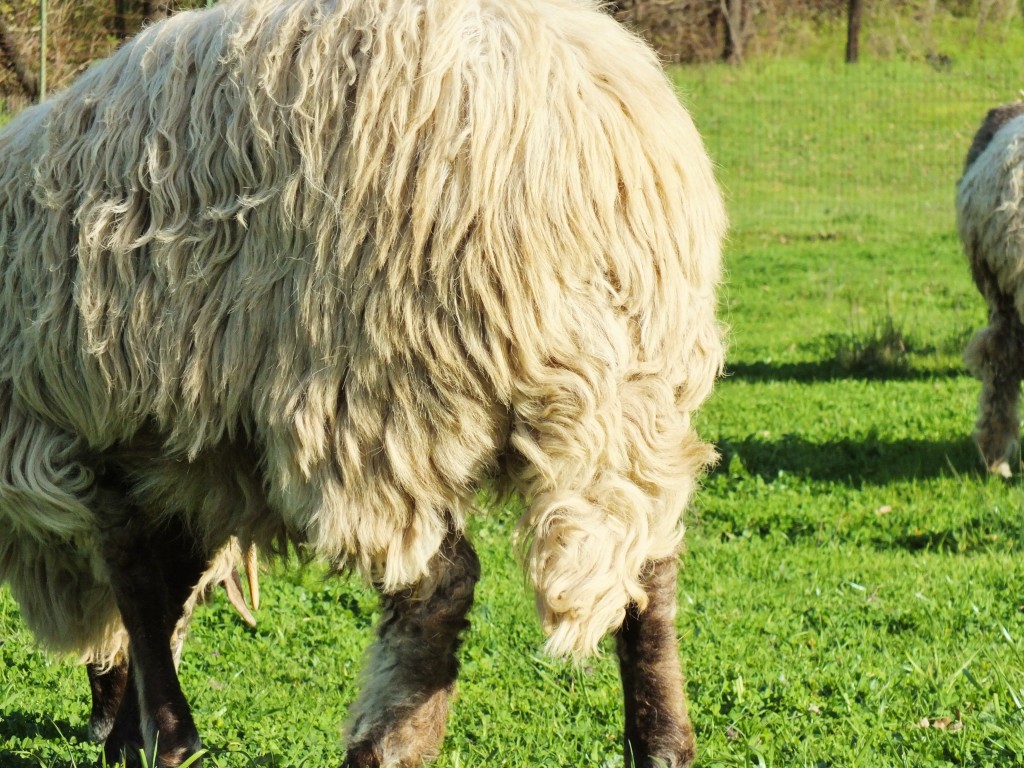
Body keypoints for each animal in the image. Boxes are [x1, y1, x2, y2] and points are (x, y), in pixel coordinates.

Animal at [0, 1, 724, 768]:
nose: (99, 724)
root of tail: (592, 154)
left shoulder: (99, 439)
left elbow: (139, 587)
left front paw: (159, 736)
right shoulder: (181, 453)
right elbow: (168, 589)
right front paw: (144, 734)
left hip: (381, 394)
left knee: (437, 588)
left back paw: (384, 745)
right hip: (644, 392)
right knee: (652, 560)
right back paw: (662, 741)